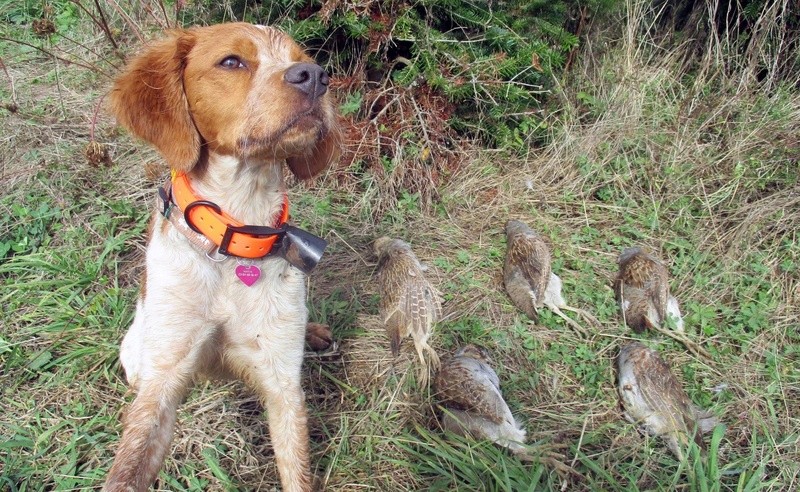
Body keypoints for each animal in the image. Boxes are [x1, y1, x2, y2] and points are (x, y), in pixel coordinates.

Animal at [105, 23, 338, 492]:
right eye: (231, 61)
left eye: (303, 59)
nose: (315, 76)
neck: (236, 241)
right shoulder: (163, 380)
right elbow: (128, 467)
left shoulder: (283, 382)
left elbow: (297, 471)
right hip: (135, 352)